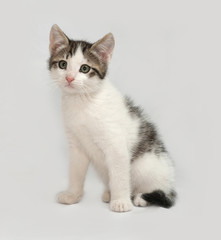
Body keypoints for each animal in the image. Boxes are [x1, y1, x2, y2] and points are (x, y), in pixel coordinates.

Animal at [48, 24, 176, 212]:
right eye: (63, 64)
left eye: (85, 68)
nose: (69, 78)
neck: (82, 101)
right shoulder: (76, 145)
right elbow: (75, 172)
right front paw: (73, 195)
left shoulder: (116, 145)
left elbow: (119, 176)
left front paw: (121, 202)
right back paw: (110, 193)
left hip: (147, 167)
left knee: (165, 195)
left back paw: (140, 198)